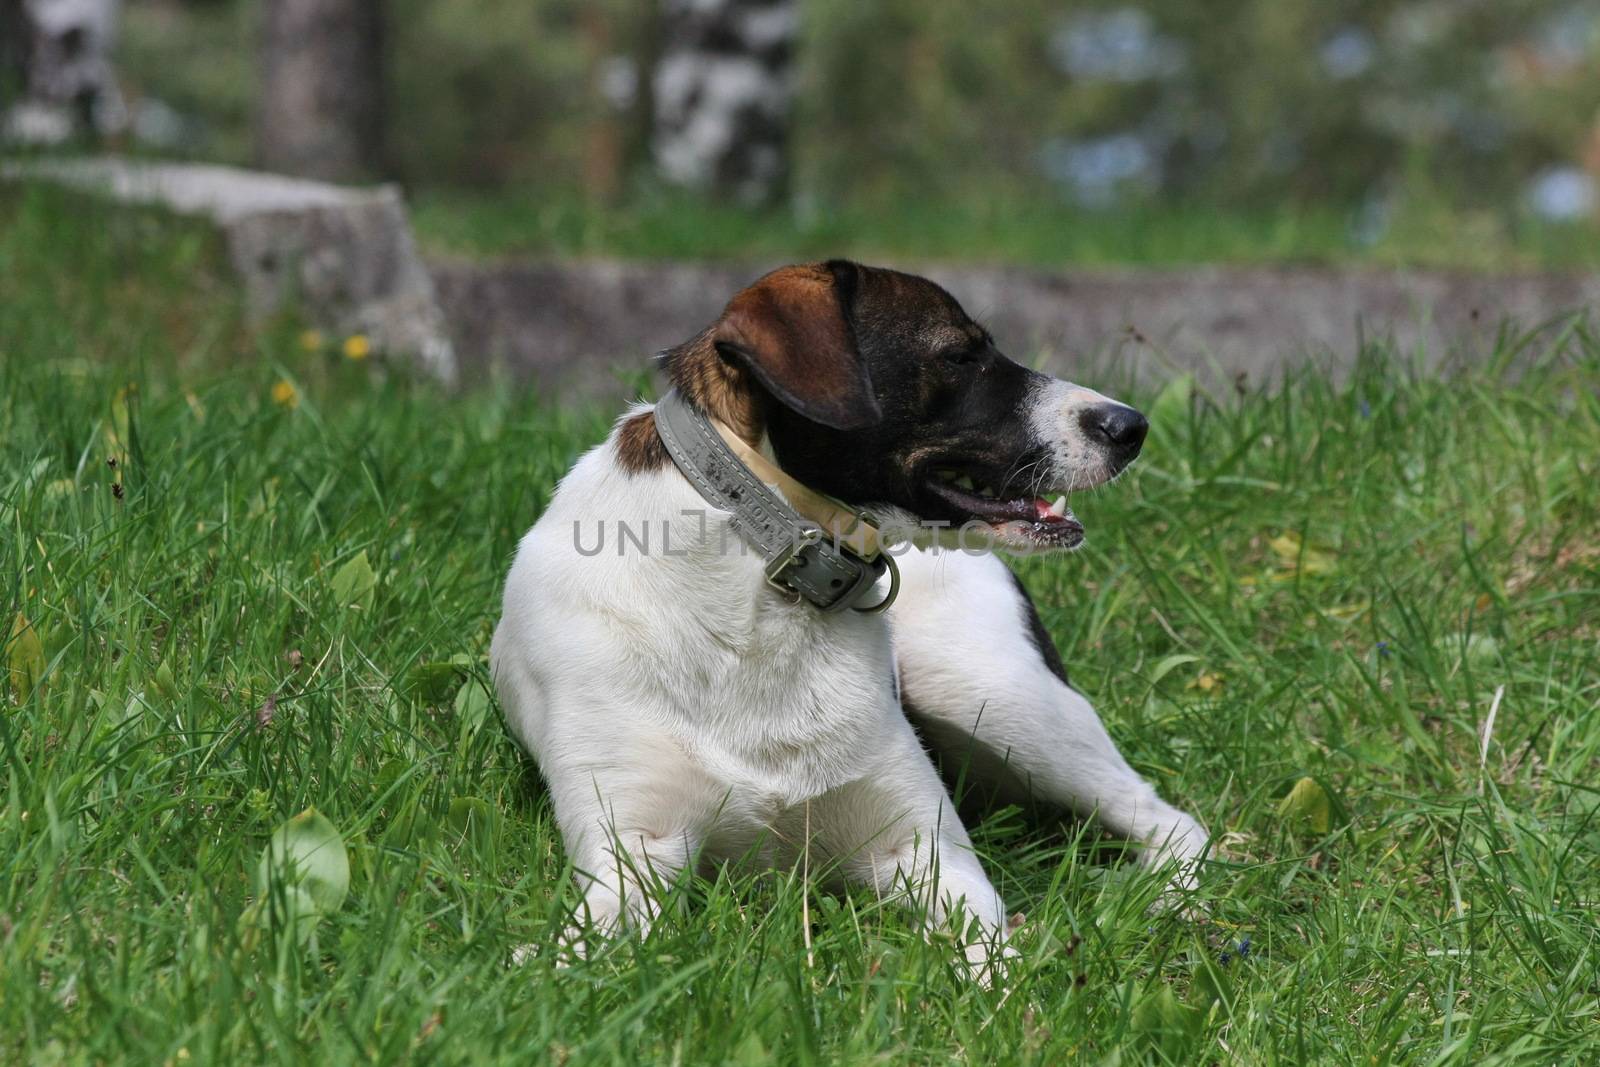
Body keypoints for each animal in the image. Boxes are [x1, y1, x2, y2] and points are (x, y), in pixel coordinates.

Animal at [492, 260, 1203, 979]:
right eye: (960, 355)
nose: (1133, 425)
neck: (765, 591)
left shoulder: (925, 847)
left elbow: (989, 956)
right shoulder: (631, 852)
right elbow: (578, 950)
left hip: (995, 696)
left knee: (1170, 820)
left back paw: (1169, 902)